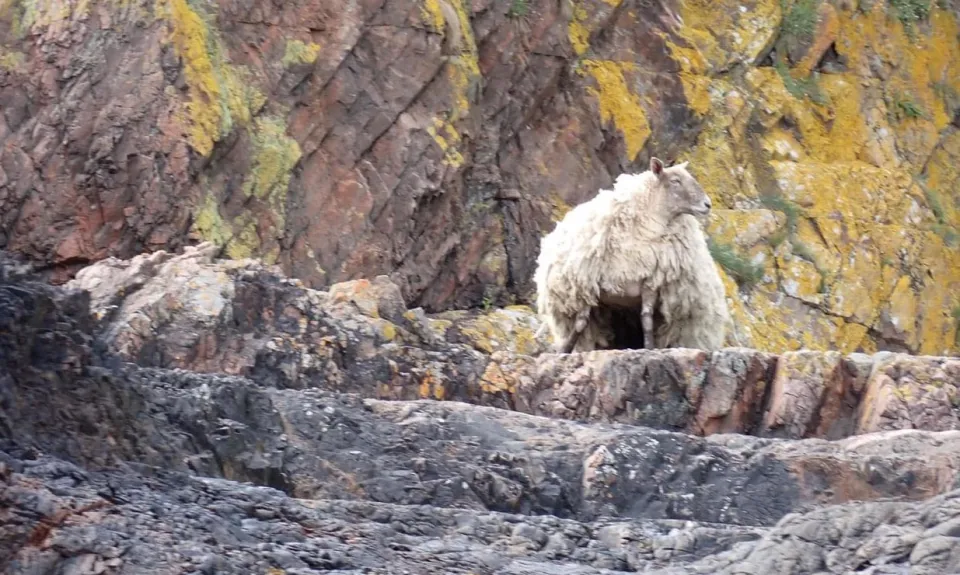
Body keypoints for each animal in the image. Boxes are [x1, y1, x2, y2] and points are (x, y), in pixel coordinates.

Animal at [536, 155, 732, 354]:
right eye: (675, 181)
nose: (707, 204)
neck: (646, 229)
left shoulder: (651, 283)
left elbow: (646, 320)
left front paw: (649, 348)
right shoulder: (588, 284)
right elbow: (581, 323)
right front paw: (564, 350)